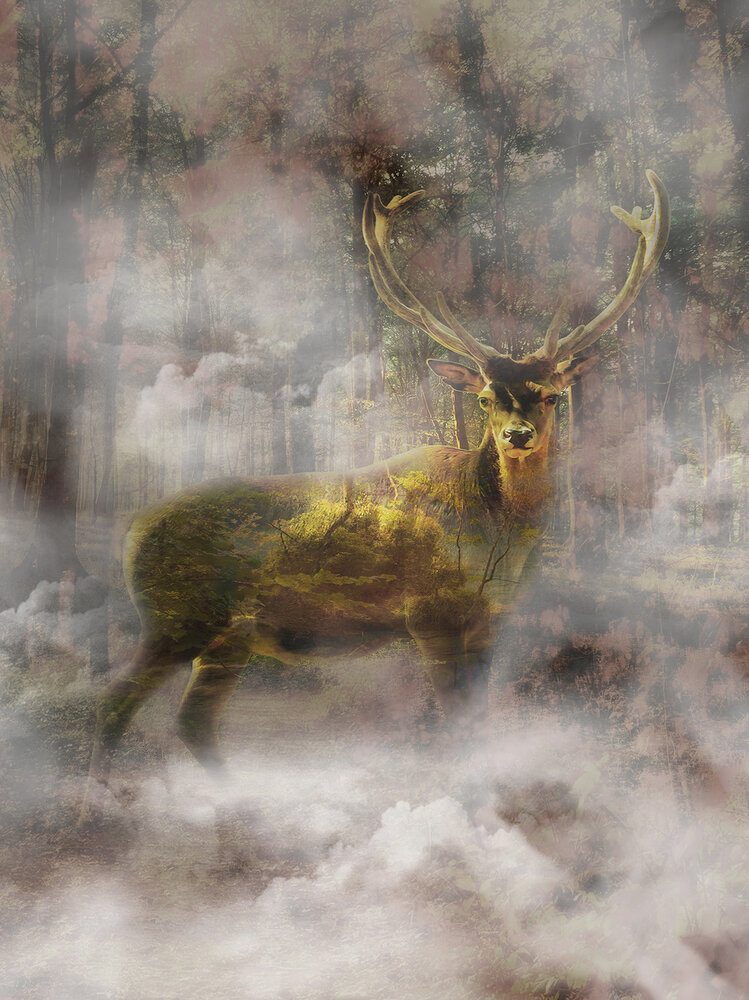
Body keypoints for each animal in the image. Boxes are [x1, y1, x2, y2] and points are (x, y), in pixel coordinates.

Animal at [87, 169, 669, 785]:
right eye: (484, 398)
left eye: (554, 395)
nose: (517, 435)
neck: (496, 537)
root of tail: (130, 533)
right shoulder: (429, 614)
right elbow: (456, 723)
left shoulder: (490, 621)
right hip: (174, 618)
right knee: (114, 703)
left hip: (227, 637)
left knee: (193, 720)